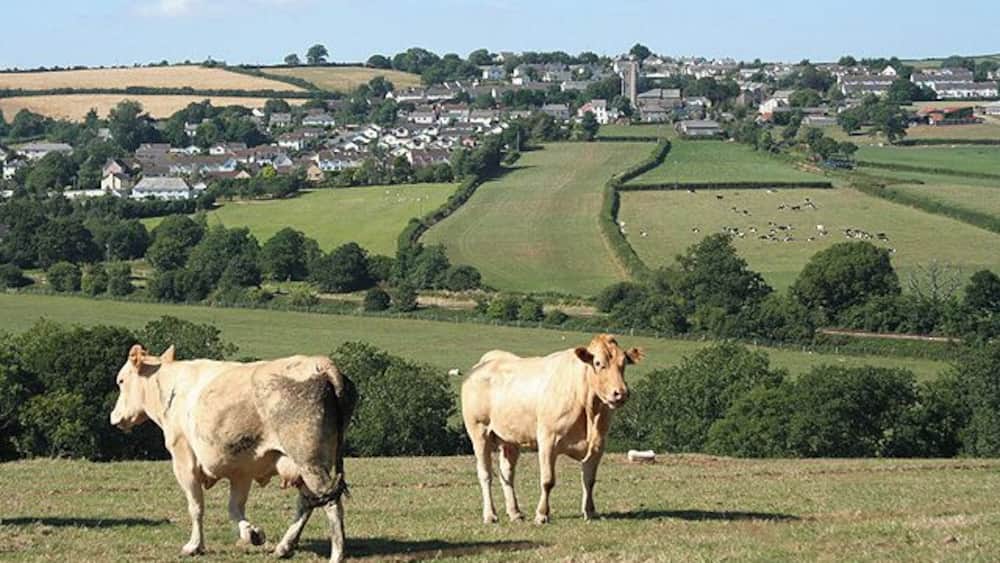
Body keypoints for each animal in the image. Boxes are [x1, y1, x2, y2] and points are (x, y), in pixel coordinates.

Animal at [110, 345, 356, 563]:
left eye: (121, 381)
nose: (114, 417)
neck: (171, 386)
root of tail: (322, 364)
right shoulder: (242, 470)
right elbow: (234, 507)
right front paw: (251, 533)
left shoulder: (183, 459)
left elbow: (196, 506)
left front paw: (194, 546)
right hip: (306, 464)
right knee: (308, 501)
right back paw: (284, 548)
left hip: (309, 461)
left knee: (331, 503)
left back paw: (336, 555)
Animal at [460, 334, 642, 525]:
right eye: (598, 363)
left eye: (624, 363)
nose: (620, 393)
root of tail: (483, 364)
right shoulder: (548, 439)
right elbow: (548, 481)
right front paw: (542, 514)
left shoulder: (598, 444)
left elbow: (589, 479)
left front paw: (590, 511)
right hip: (479, 432)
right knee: (485, 474)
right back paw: (490, 515)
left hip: (510, 439)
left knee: (507, 475)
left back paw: (515, 512)